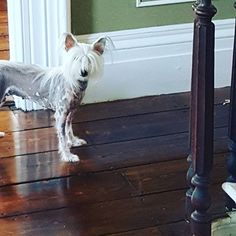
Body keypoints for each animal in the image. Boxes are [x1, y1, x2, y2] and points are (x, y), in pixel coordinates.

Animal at [0, 32, 108, 162]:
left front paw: (73, 141)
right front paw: (68, 156)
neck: (73, 83)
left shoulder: (71, 112)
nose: (83, 72)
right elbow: (62, 138)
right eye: (75, 59)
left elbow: (69, 129)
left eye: (89, 60)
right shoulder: (60, 115)